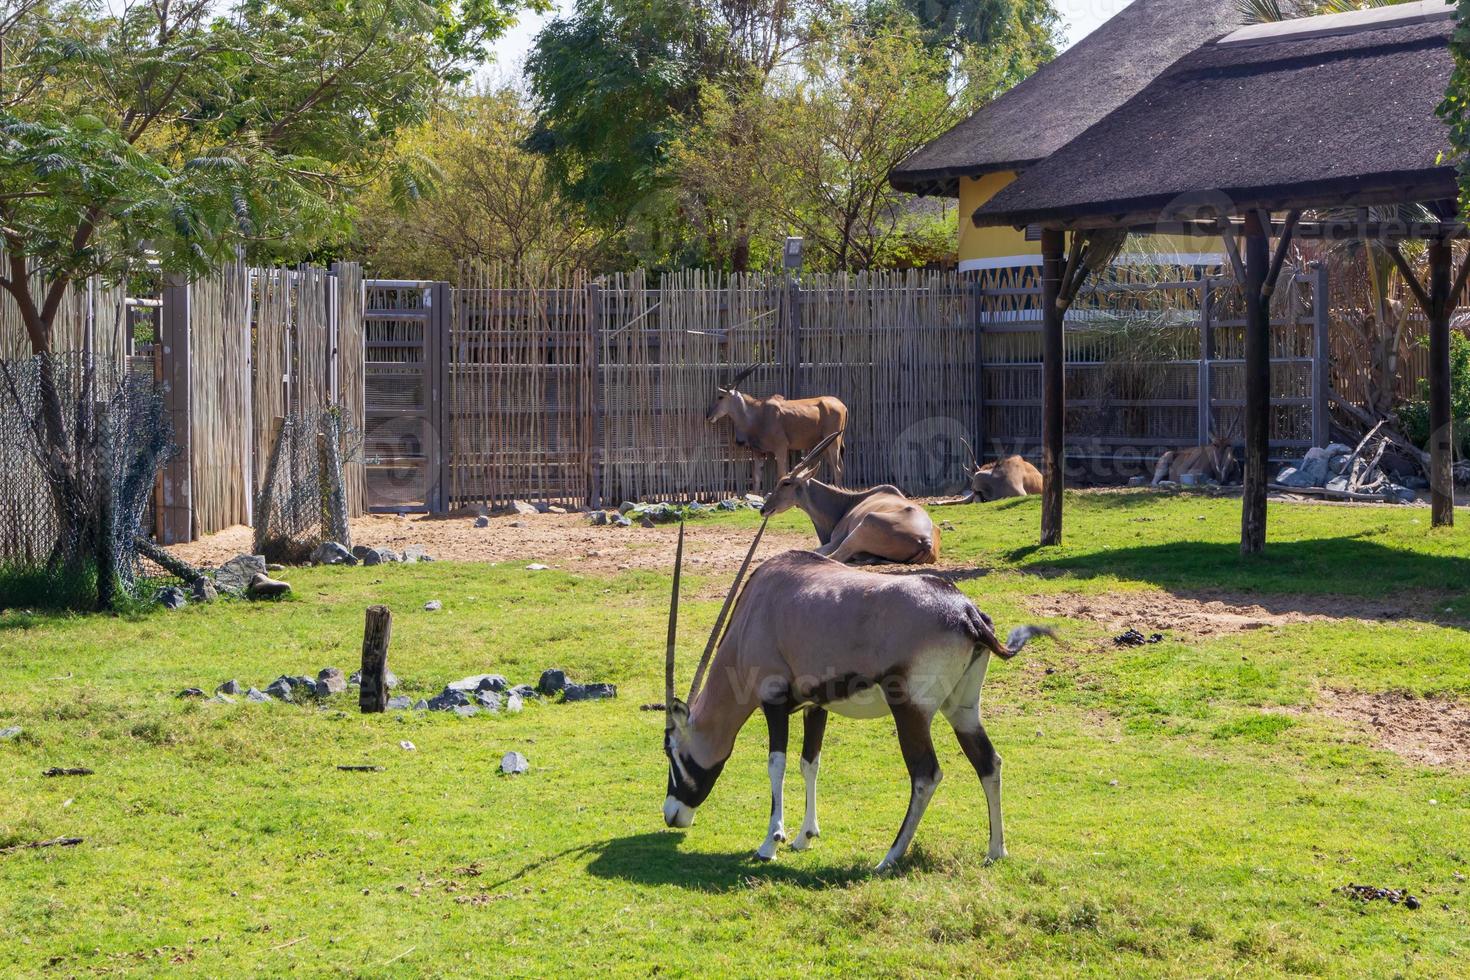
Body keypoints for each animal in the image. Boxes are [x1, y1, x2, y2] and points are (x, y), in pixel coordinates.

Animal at [708, 362, 852, 487]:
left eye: (720, 397)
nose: (708, 415)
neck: (756, 415)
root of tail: (842, 405)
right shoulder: (758, 452)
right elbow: (756, 478)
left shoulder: (781, 448)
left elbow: (781, 475)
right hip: (825, 444)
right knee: (840, 467)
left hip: (833, 443)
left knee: (838, 469)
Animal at [758, 431, 940, 564]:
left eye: (786, 483)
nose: (763, 509)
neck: (846, 503)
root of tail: (926, 541)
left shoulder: (834, 541)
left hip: (862, 526)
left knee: (833, 558)